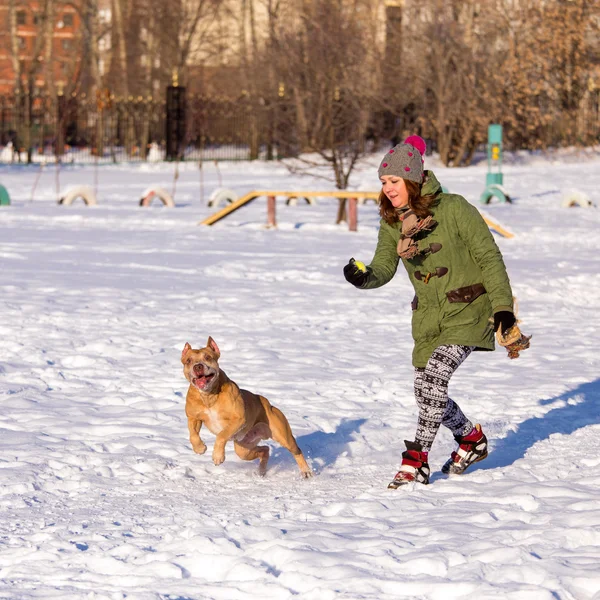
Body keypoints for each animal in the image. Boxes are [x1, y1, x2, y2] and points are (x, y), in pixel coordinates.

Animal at [179, 338, 314, 478]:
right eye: (188, 360)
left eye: (208, 357)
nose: (198, 366)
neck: (208, 396)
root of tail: (268, 403)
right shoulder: (193, 418)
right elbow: (193, 435)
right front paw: (199, 448)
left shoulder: (238, 419)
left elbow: (222, 435)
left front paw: (217, 456)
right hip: (243, 448)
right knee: (265, 450)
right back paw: (261, 471)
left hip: (282, 435)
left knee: (296, 450)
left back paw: (306, 471)